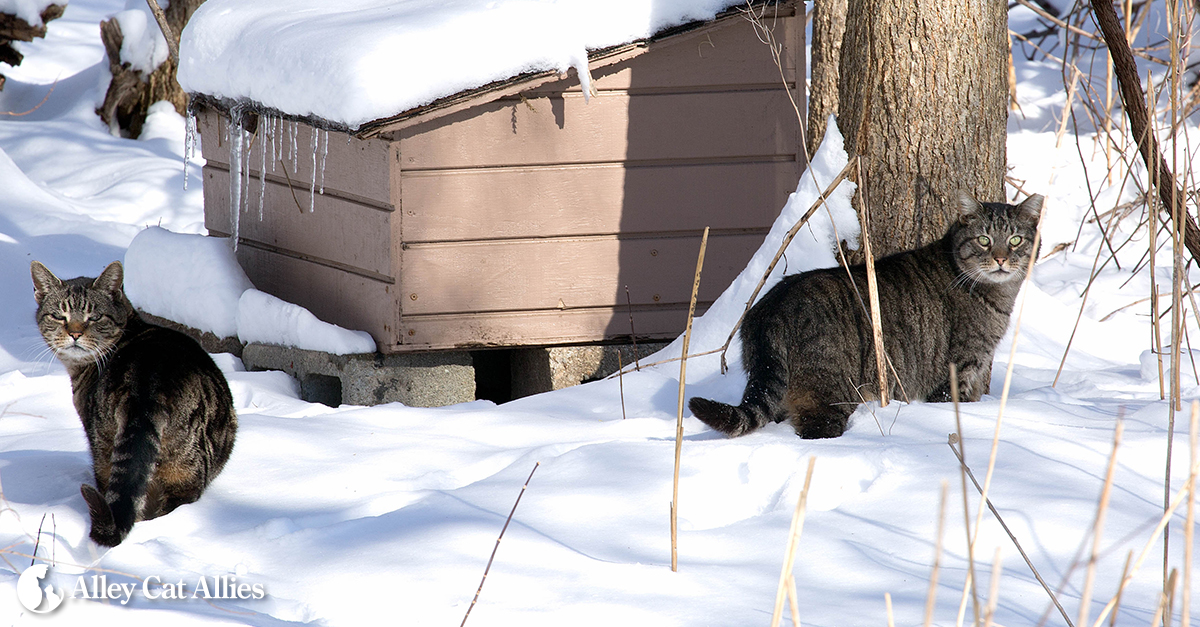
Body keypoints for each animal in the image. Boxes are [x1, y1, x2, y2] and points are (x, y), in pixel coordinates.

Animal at [31, 258, 236, 540]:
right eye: (59, 316)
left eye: (94, 317)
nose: (75, 333)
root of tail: (148, 383)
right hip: (181, 469)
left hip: (109, 454)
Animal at [691, 192, 1046, 437]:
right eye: (984, 240)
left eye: (1015, 240)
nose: (1001, 259)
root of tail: (775, 304)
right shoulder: (955, 374)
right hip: (828, 393)